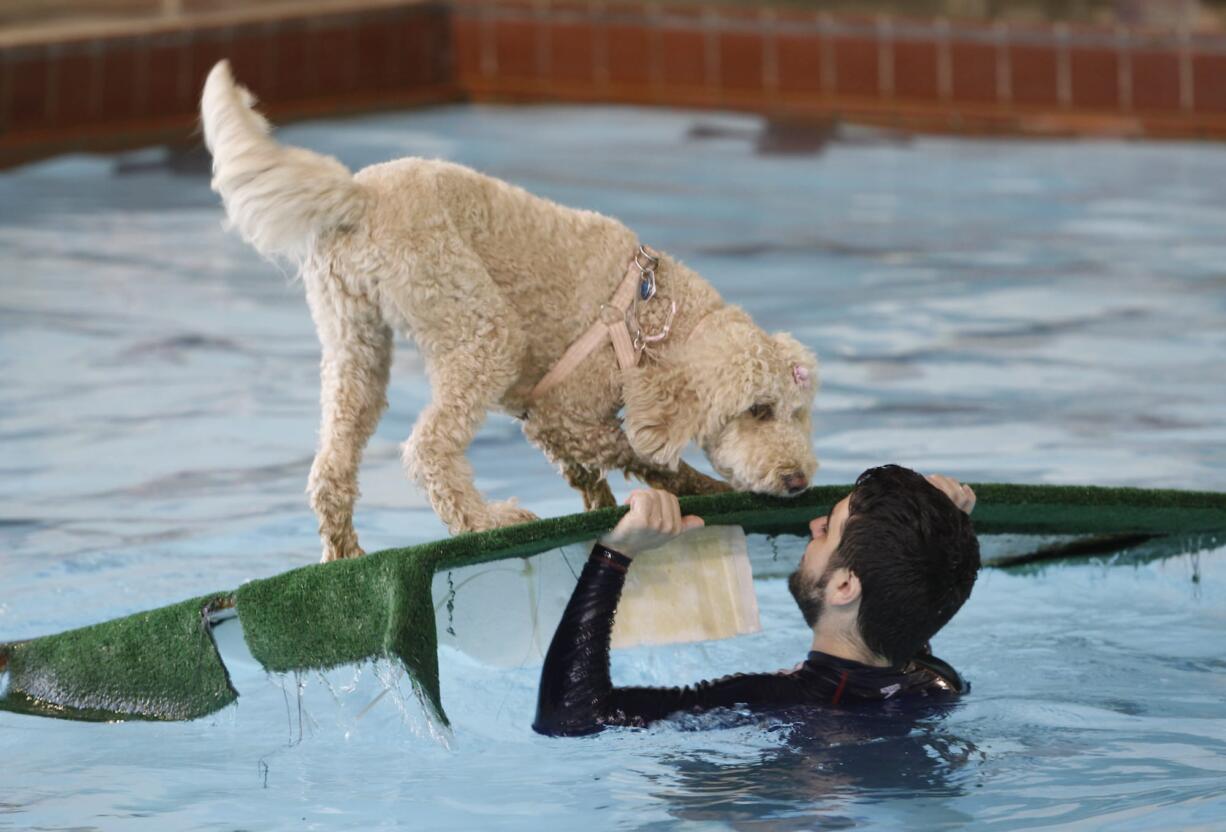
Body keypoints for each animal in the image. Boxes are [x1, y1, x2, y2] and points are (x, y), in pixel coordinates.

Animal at [201, 61, 818, 563]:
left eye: (798, 414)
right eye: (758, 410)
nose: (798, 480)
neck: (654, 315)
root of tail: (358, 195)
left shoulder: (552, 426)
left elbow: (590, 470)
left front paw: (604, 500)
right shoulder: (564, 413)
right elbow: (639, 452)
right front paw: (704, 489)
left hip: (355, 343)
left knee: (332, 464)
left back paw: (344, 552)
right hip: (481, 329)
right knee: (429, 450)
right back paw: (485, 520)